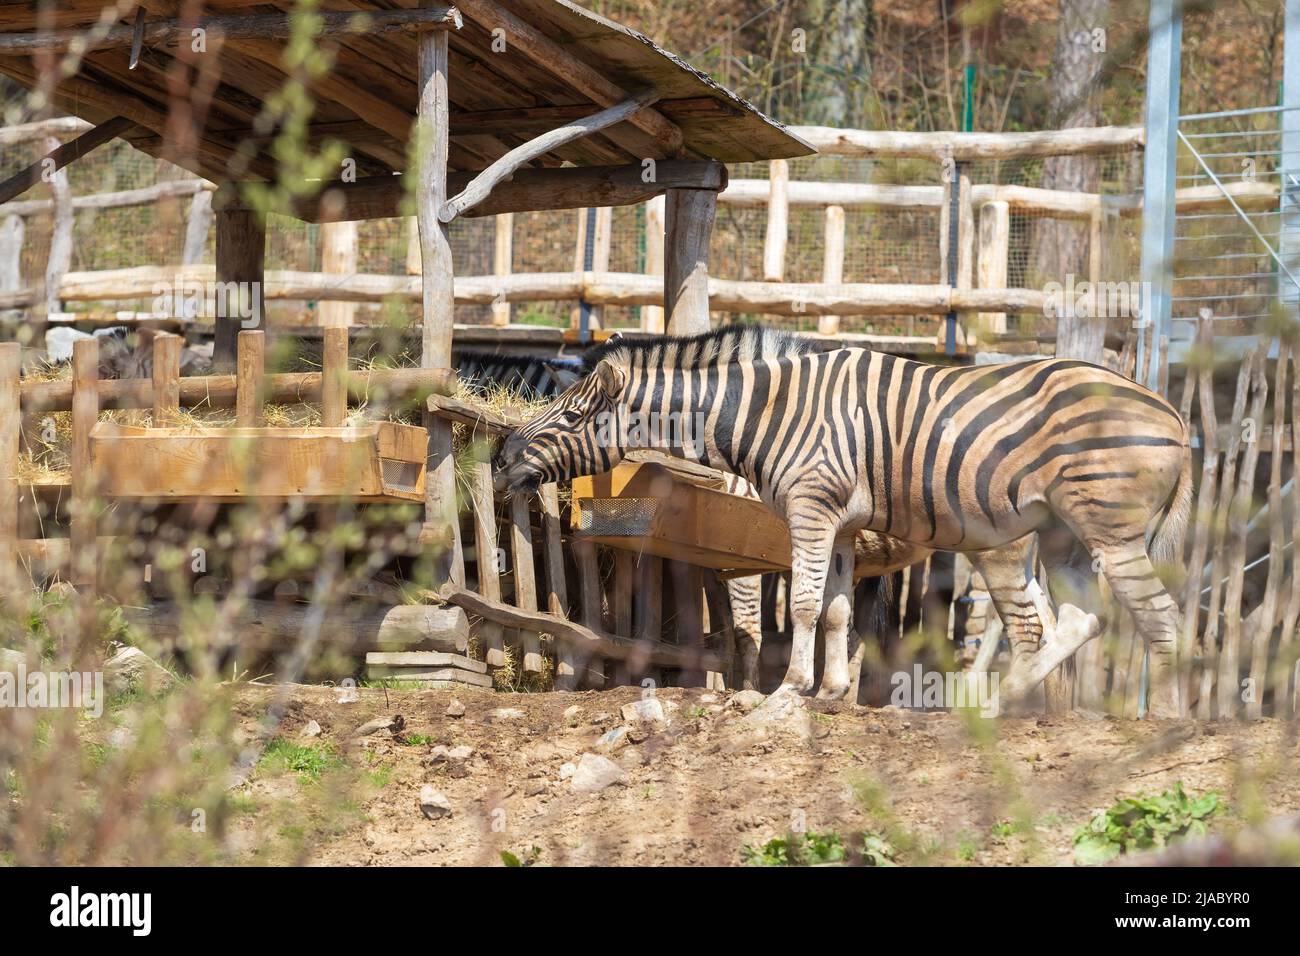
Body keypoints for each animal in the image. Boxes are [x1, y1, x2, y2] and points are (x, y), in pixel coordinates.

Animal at [493, 325, 1190, 712]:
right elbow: (835, 611)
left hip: (1072, 535)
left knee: (1142, 621)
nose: (499, 460)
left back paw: (1165, 722)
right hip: (1062, 536)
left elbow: (790, 610)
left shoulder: (807, 511)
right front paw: (828, 692)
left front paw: (783, 689)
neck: (767, 413)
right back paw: (1011, 704)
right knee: (1074, 620)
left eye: (571, 417)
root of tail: (1174, 413)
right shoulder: (844, 525)